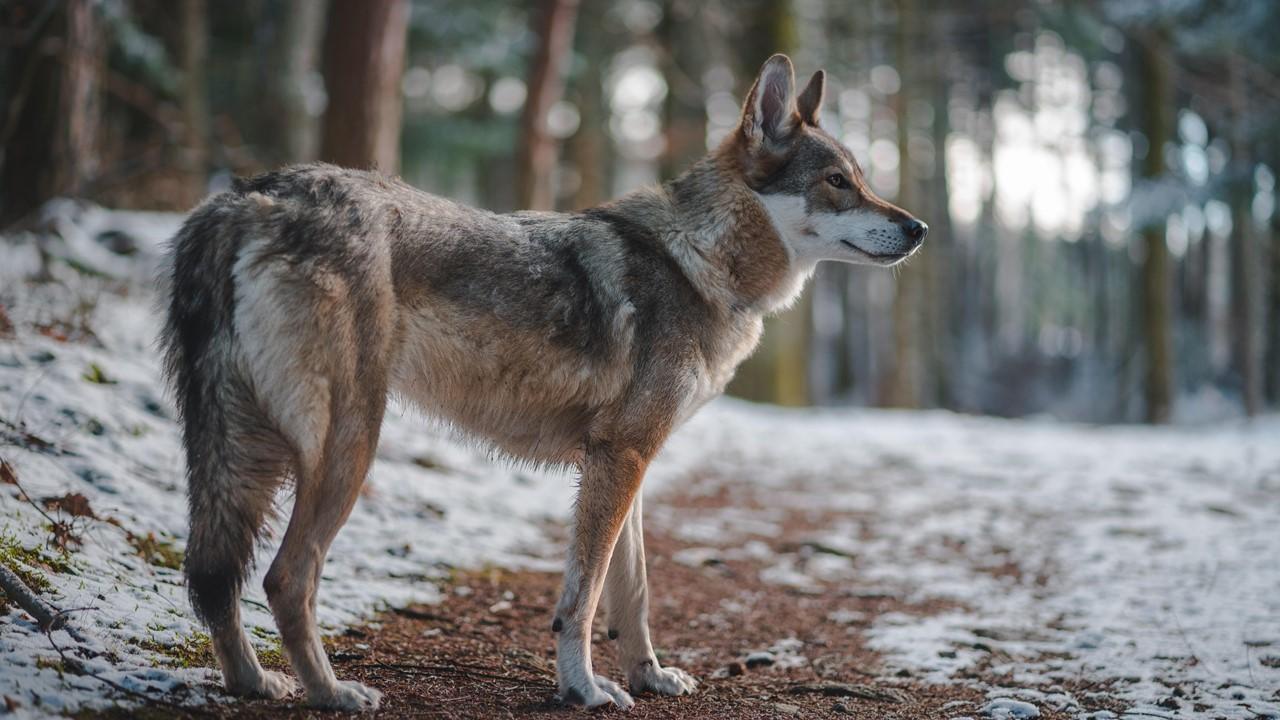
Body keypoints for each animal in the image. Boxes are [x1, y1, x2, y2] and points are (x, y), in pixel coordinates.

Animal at [160, 54, 925, 711]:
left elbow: (632, 592)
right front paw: (583, 689)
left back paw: (253, 683)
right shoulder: (619, 459)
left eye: (862, 178)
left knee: (213, 576)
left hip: (241, 451)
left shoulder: (628, 461)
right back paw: (331, 692)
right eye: (838, 182)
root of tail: (247, 196)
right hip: (347, 446)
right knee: (285, 578)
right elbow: (581, 600)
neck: (699, 262)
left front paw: (649, 676)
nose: (919, 227)